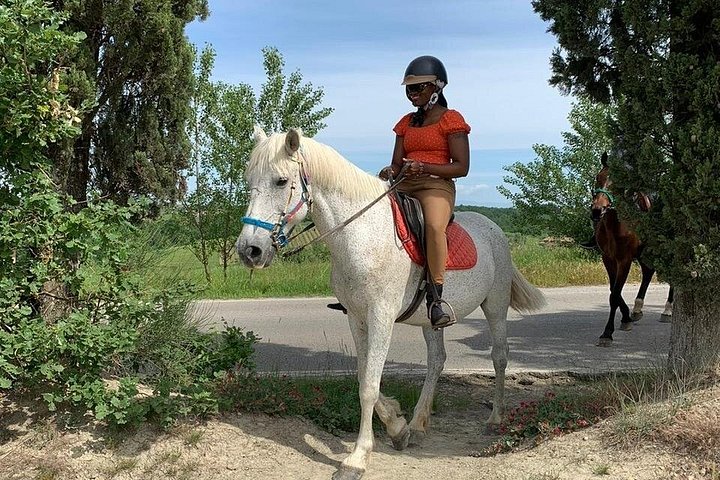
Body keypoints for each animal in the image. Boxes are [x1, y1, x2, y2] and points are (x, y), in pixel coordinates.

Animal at [236, 127, 546, 480]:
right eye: (249, 180)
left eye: (280, 181)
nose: (249, 250)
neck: (362, 236)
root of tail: (494, 229)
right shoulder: (356, 317)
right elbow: (362, 375)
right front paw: (398, 426)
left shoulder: (381, 317)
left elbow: (369, 385)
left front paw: (357, 458)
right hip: (431, 319)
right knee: (437, 360)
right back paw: (419, 423)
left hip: (494, 306)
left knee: (499, 357)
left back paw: (494, 419)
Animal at [591, 153, 674, 347]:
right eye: (598, 177)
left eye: (618, 182)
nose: (597, 210)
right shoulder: (608, 259)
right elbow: (613, 290)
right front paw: (626, 318)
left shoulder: (624, 259)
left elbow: (615, 295)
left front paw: (607, 333)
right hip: (644, 253)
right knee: (648, 273)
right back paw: (637, 308)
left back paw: (667, 310)